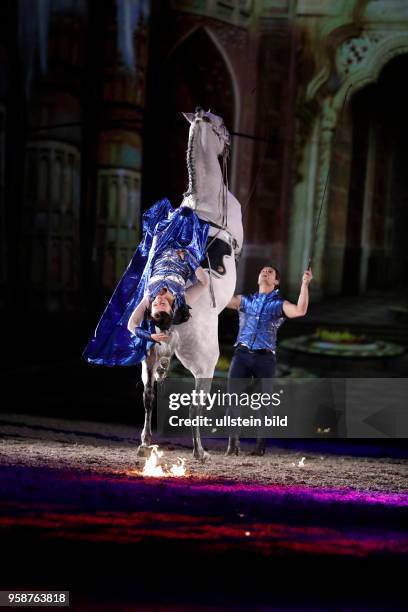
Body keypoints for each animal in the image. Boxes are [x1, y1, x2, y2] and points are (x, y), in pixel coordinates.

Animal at [139, 107, 244, 462]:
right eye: (222, 125)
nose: (230, 142)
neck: (203, 201)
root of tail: (168, 325)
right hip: (204, 363)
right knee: (195, 406)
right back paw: (200, 452)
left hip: (147, 357)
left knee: (148, 394)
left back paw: (145, 443)